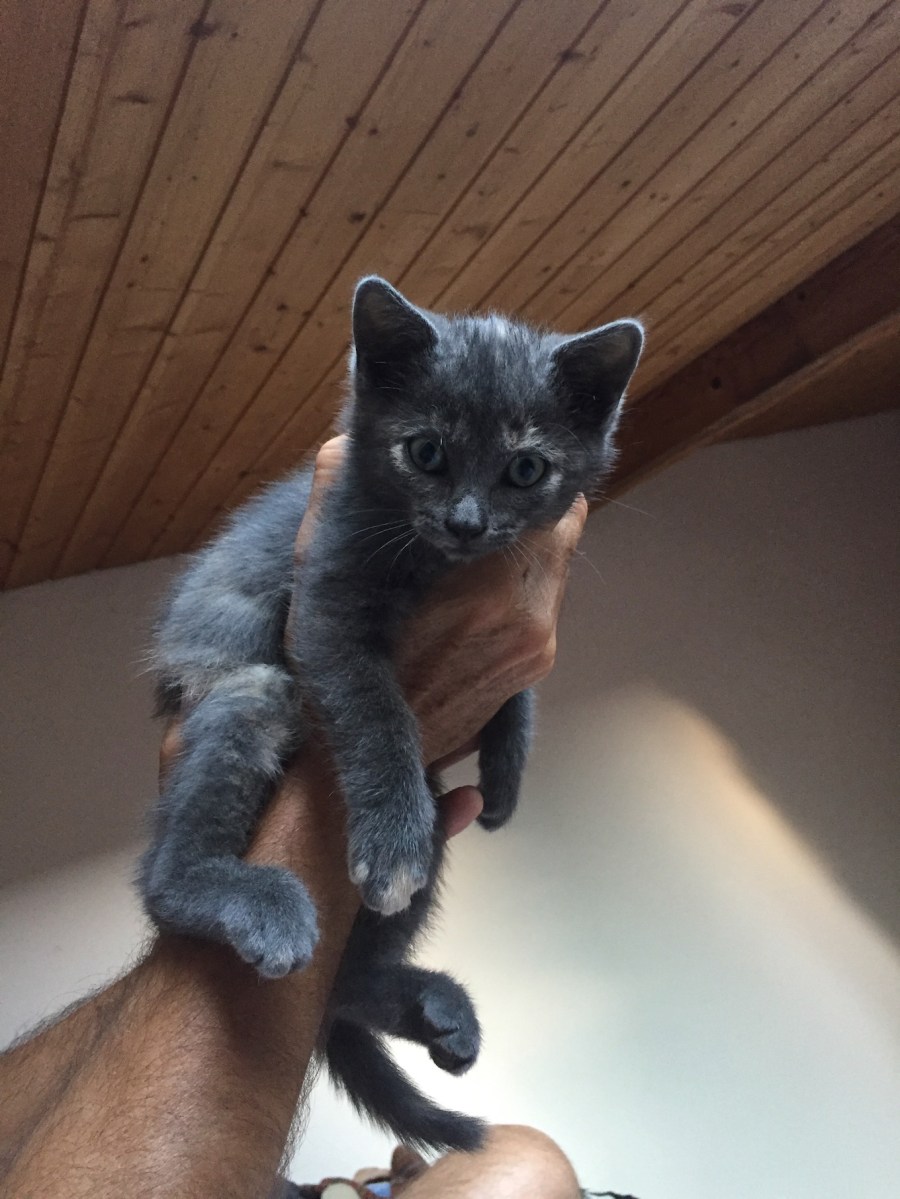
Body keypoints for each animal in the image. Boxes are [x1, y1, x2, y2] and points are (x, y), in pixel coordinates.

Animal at [140, 276, 643, 1152]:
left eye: (526, 467)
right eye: (427, 452)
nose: (468, 521)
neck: (435, 561)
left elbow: (520, 691)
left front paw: (509, 768)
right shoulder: (325, 600)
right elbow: (376, 712)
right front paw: (392, 838)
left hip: (436, 817)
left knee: (346, 983)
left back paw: (427, 1003)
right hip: (247, 692)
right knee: (163, 877)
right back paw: (233, 894)